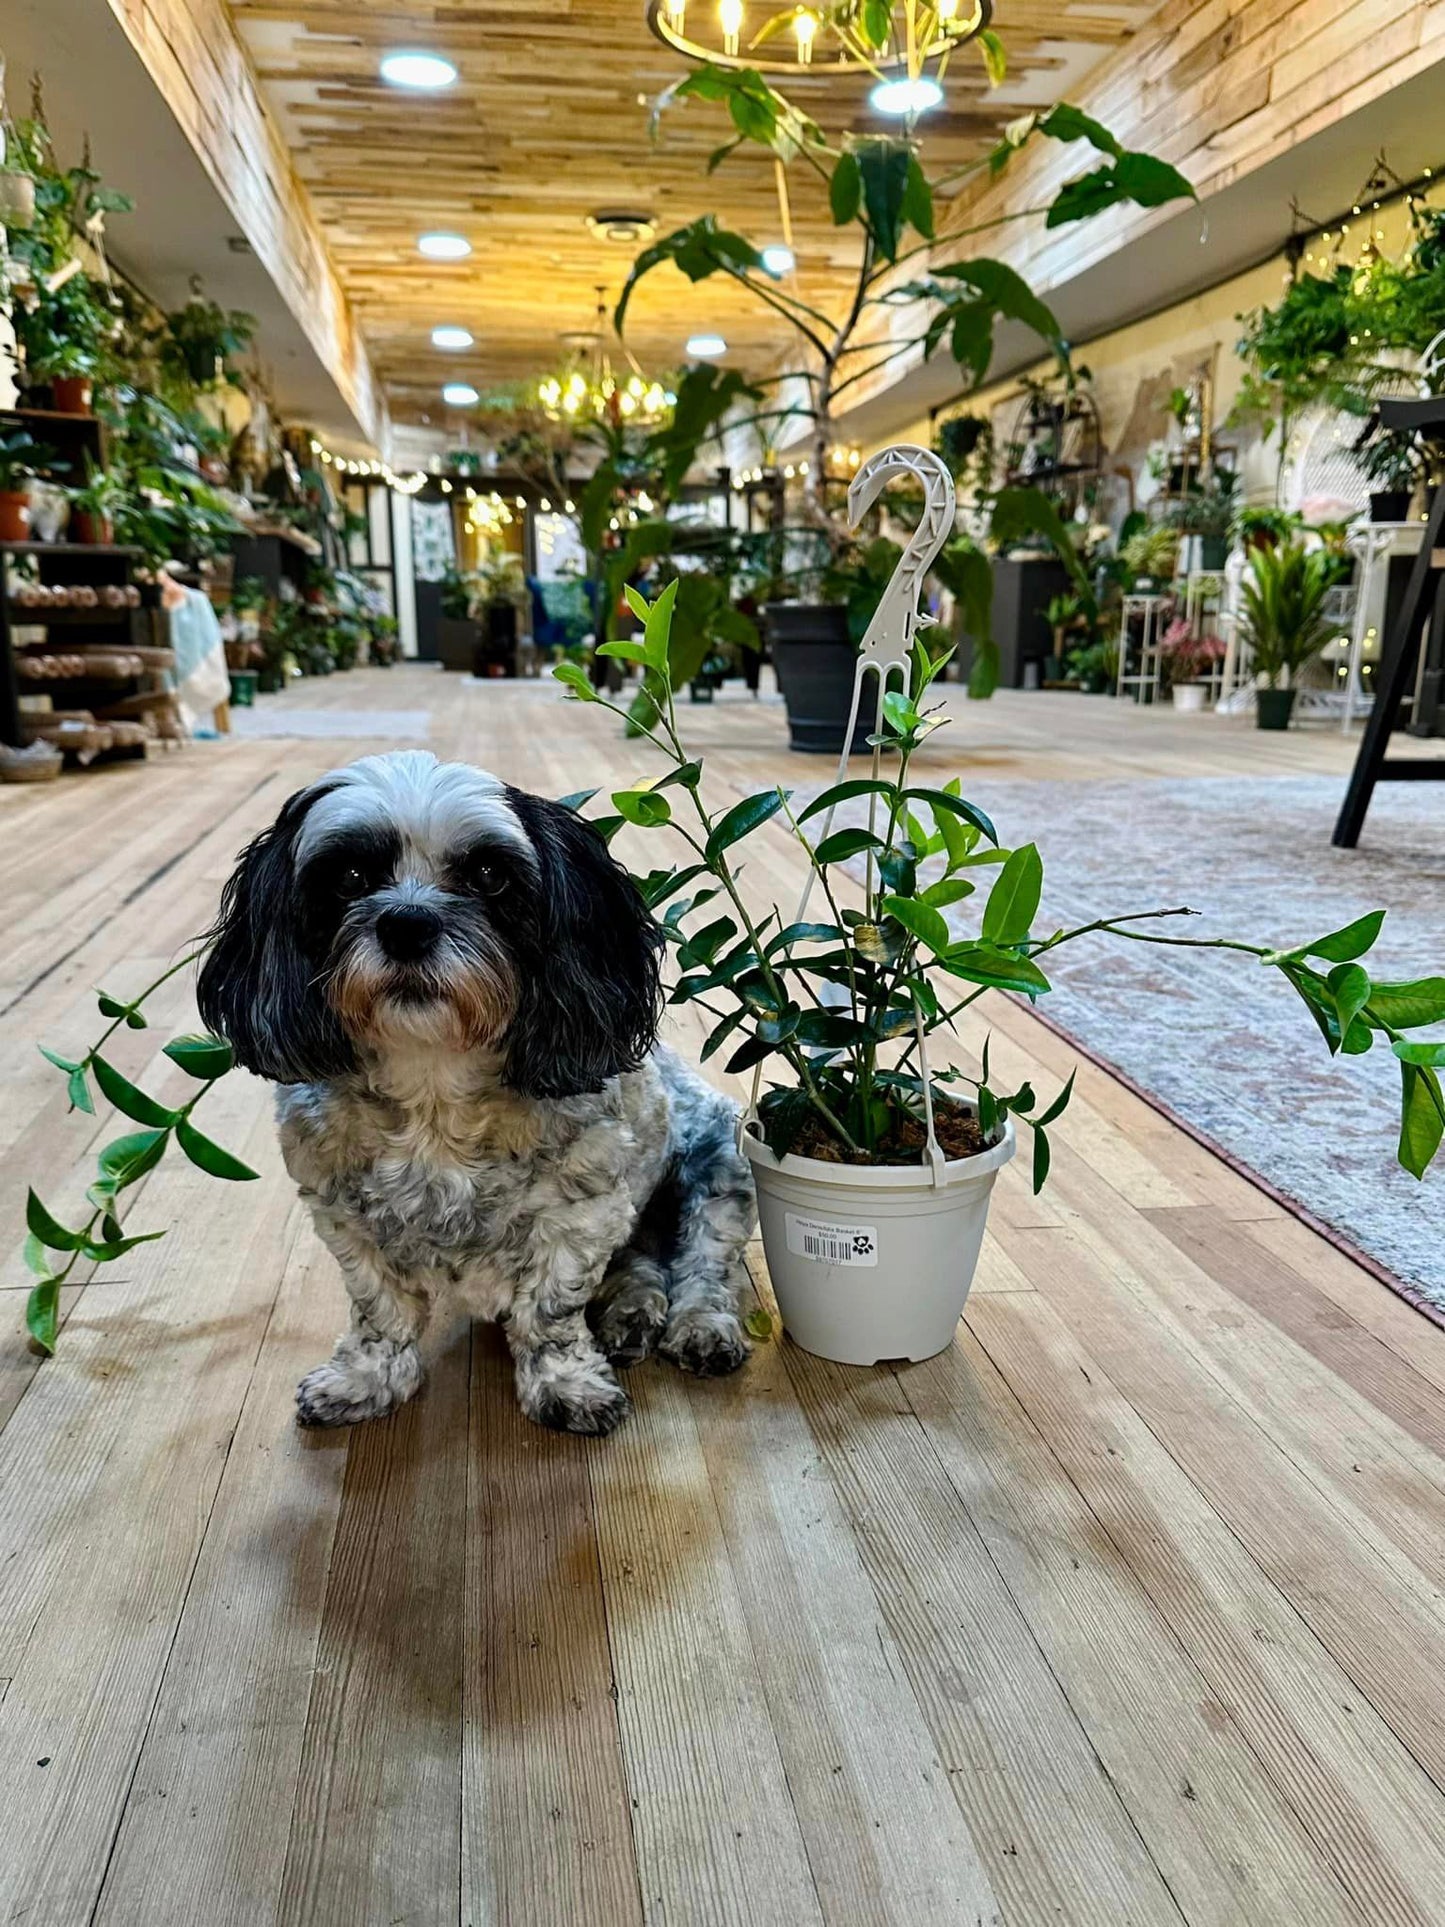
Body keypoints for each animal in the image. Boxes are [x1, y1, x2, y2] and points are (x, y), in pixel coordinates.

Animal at [199, 747, 759, 1433]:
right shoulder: (345, 1217)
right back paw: (630, 1312)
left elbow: (549, 1313)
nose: (407, 924)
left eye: (489, 875)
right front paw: (366, 1379)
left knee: (704, 1264)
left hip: (720, 1164)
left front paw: (566, 1384)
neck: (435, 1089)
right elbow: (379, 1308)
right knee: (644, 1261)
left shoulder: (581, 1215)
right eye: (350, 876)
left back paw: (700, 1326)